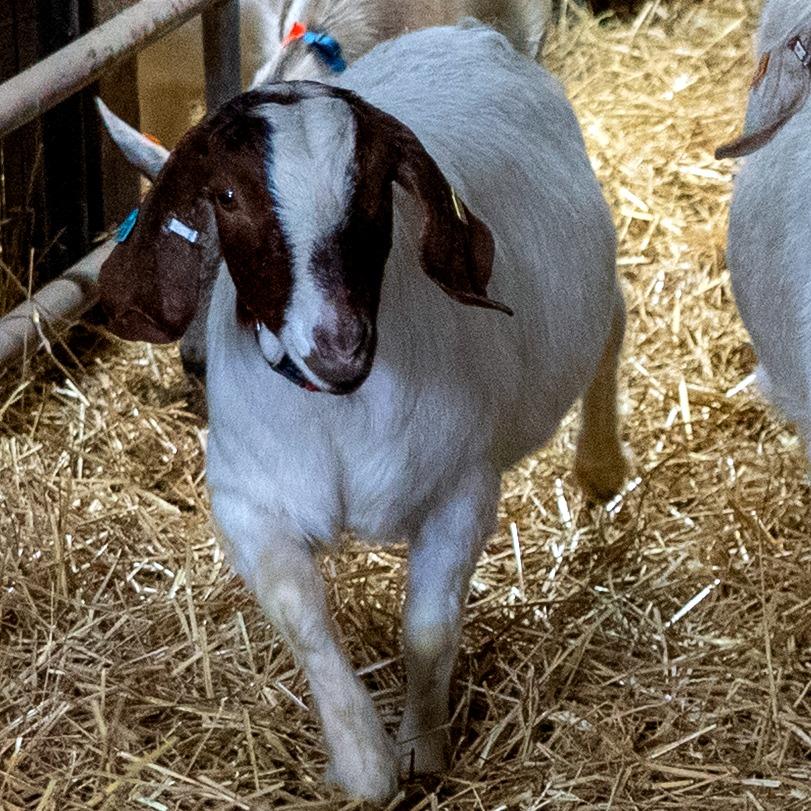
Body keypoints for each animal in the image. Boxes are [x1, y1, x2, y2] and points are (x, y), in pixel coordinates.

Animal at [99, 23, 628, 801]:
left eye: (380, 188)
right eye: (225, 194)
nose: (340, 344)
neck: (337, 413)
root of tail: (462, 30)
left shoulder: (461, 491)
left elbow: (429, 630)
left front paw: (422, 751)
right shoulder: (245, 500)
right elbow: (305, 621)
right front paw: (365, 765)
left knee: (612, 328)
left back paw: (600, 465)